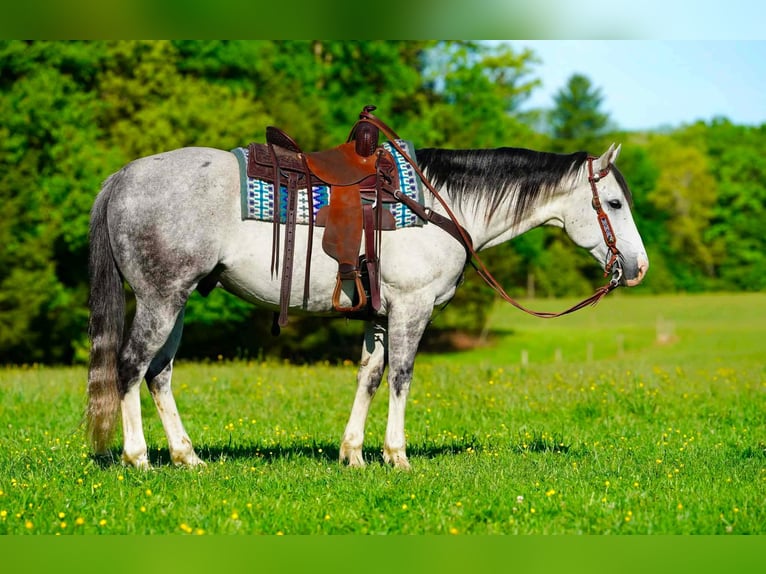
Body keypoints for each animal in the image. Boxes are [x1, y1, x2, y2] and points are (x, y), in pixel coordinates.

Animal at [86, 140, 648, 470]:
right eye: (614, 203)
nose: (638, 267)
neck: (438, 205)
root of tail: (124, 176)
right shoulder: (411, 308)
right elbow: (400, 376)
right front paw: (397, 456)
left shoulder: (378, 315)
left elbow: (369, 377)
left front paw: (353, 454)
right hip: (161, 298)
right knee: (131, 366)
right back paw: (138, 458)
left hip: (176, 302)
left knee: (159, 373)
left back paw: (188, 458)